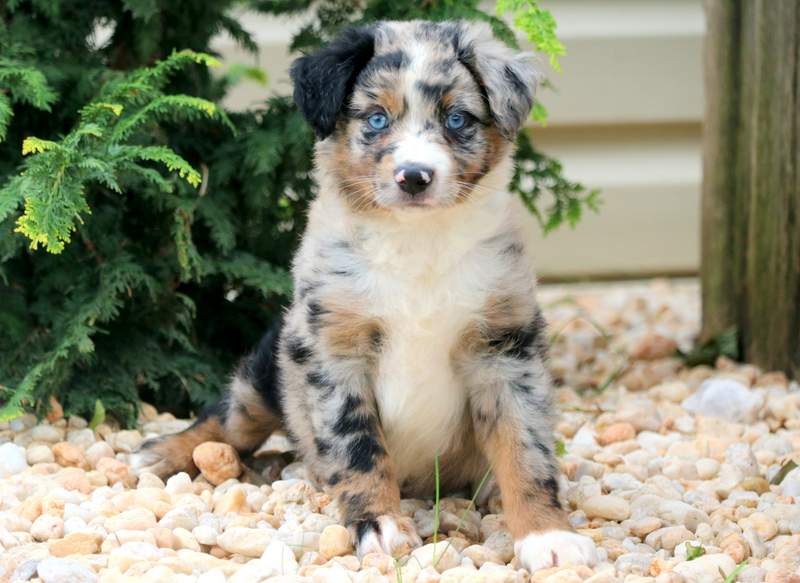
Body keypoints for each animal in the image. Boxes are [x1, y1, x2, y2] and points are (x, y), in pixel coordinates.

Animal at [131, 20, 596, 572]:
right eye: (376, 118)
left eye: (457, 119)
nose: (414, 177)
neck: (418, 244)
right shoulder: (335, 348)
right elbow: (357, 446)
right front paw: (378, 525)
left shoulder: (506, 348)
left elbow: (525, 449)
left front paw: (547, 534)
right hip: (270, 366)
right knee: (230, 419)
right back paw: (163, 452)